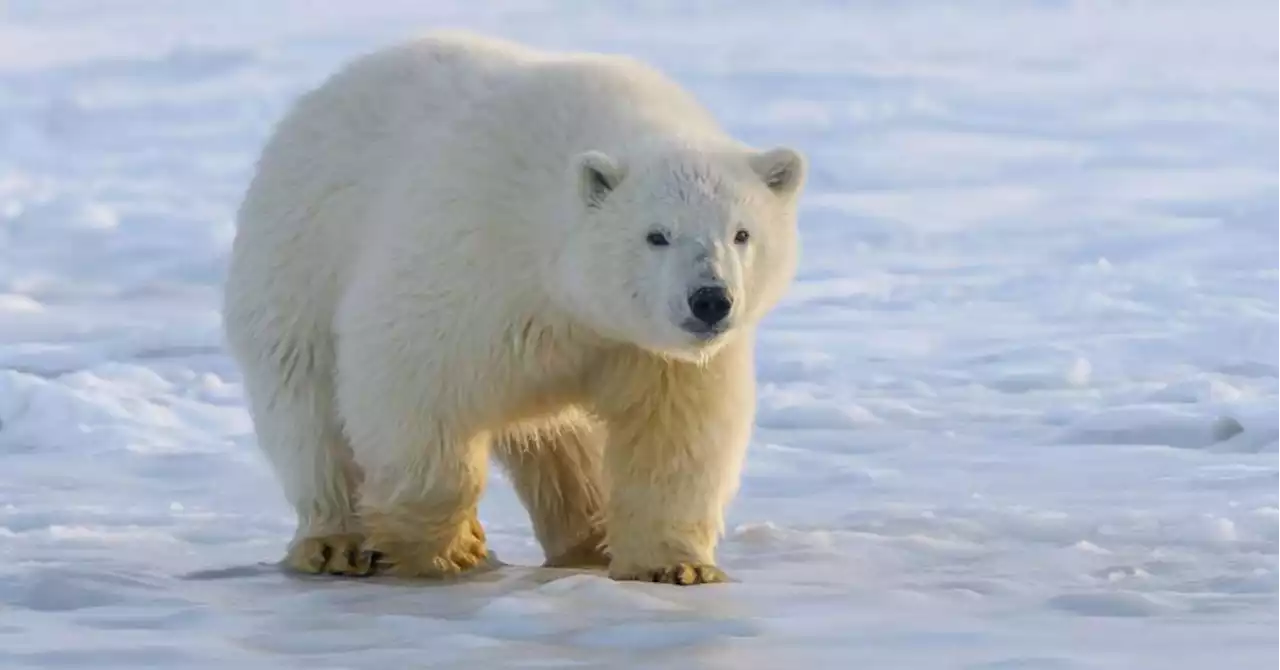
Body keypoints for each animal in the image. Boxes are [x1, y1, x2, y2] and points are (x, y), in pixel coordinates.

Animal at [218, 32, 798, 586]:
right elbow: (411, 383)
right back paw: (335, 543)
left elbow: (674, 434)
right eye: (657, 235)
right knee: (309, 408)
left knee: (563, 444)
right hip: (298, 260)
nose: (710, 299)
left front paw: (676, 566)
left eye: (742, 233)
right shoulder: (471, 261)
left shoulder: (646, 351)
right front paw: (448, 548)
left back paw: (586, 540)